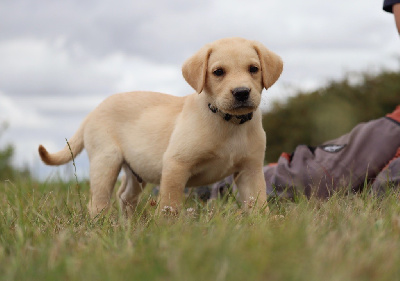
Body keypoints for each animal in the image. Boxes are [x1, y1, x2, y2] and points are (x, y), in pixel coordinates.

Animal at [37, 37, 282, 215]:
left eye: (253, 69)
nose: (241, 92)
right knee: (98, 202)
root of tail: (93, 111)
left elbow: (259, 204)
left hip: (135, 171)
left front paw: (262, 229)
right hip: (105, 162)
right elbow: (170, 205)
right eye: (218, 72)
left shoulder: (250, 170)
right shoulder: (176, 164)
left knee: (125, 196)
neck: (229, 122)